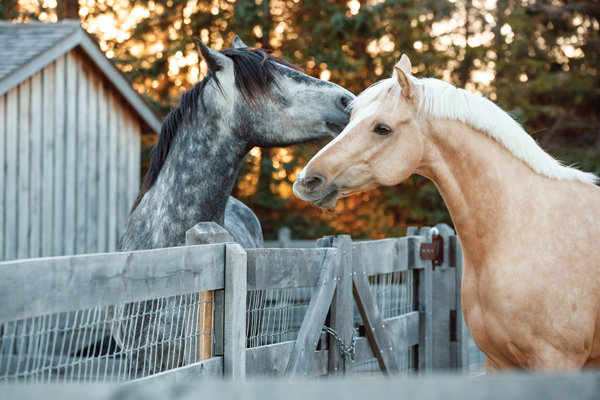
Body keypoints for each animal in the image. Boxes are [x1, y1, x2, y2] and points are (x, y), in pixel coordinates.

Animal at [294, 54, 600, 370]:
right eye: (352, 119)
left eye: (382, 128)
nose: (306, 180)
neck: (517, 227)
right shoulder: (498, 362)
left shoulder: (555, 359)